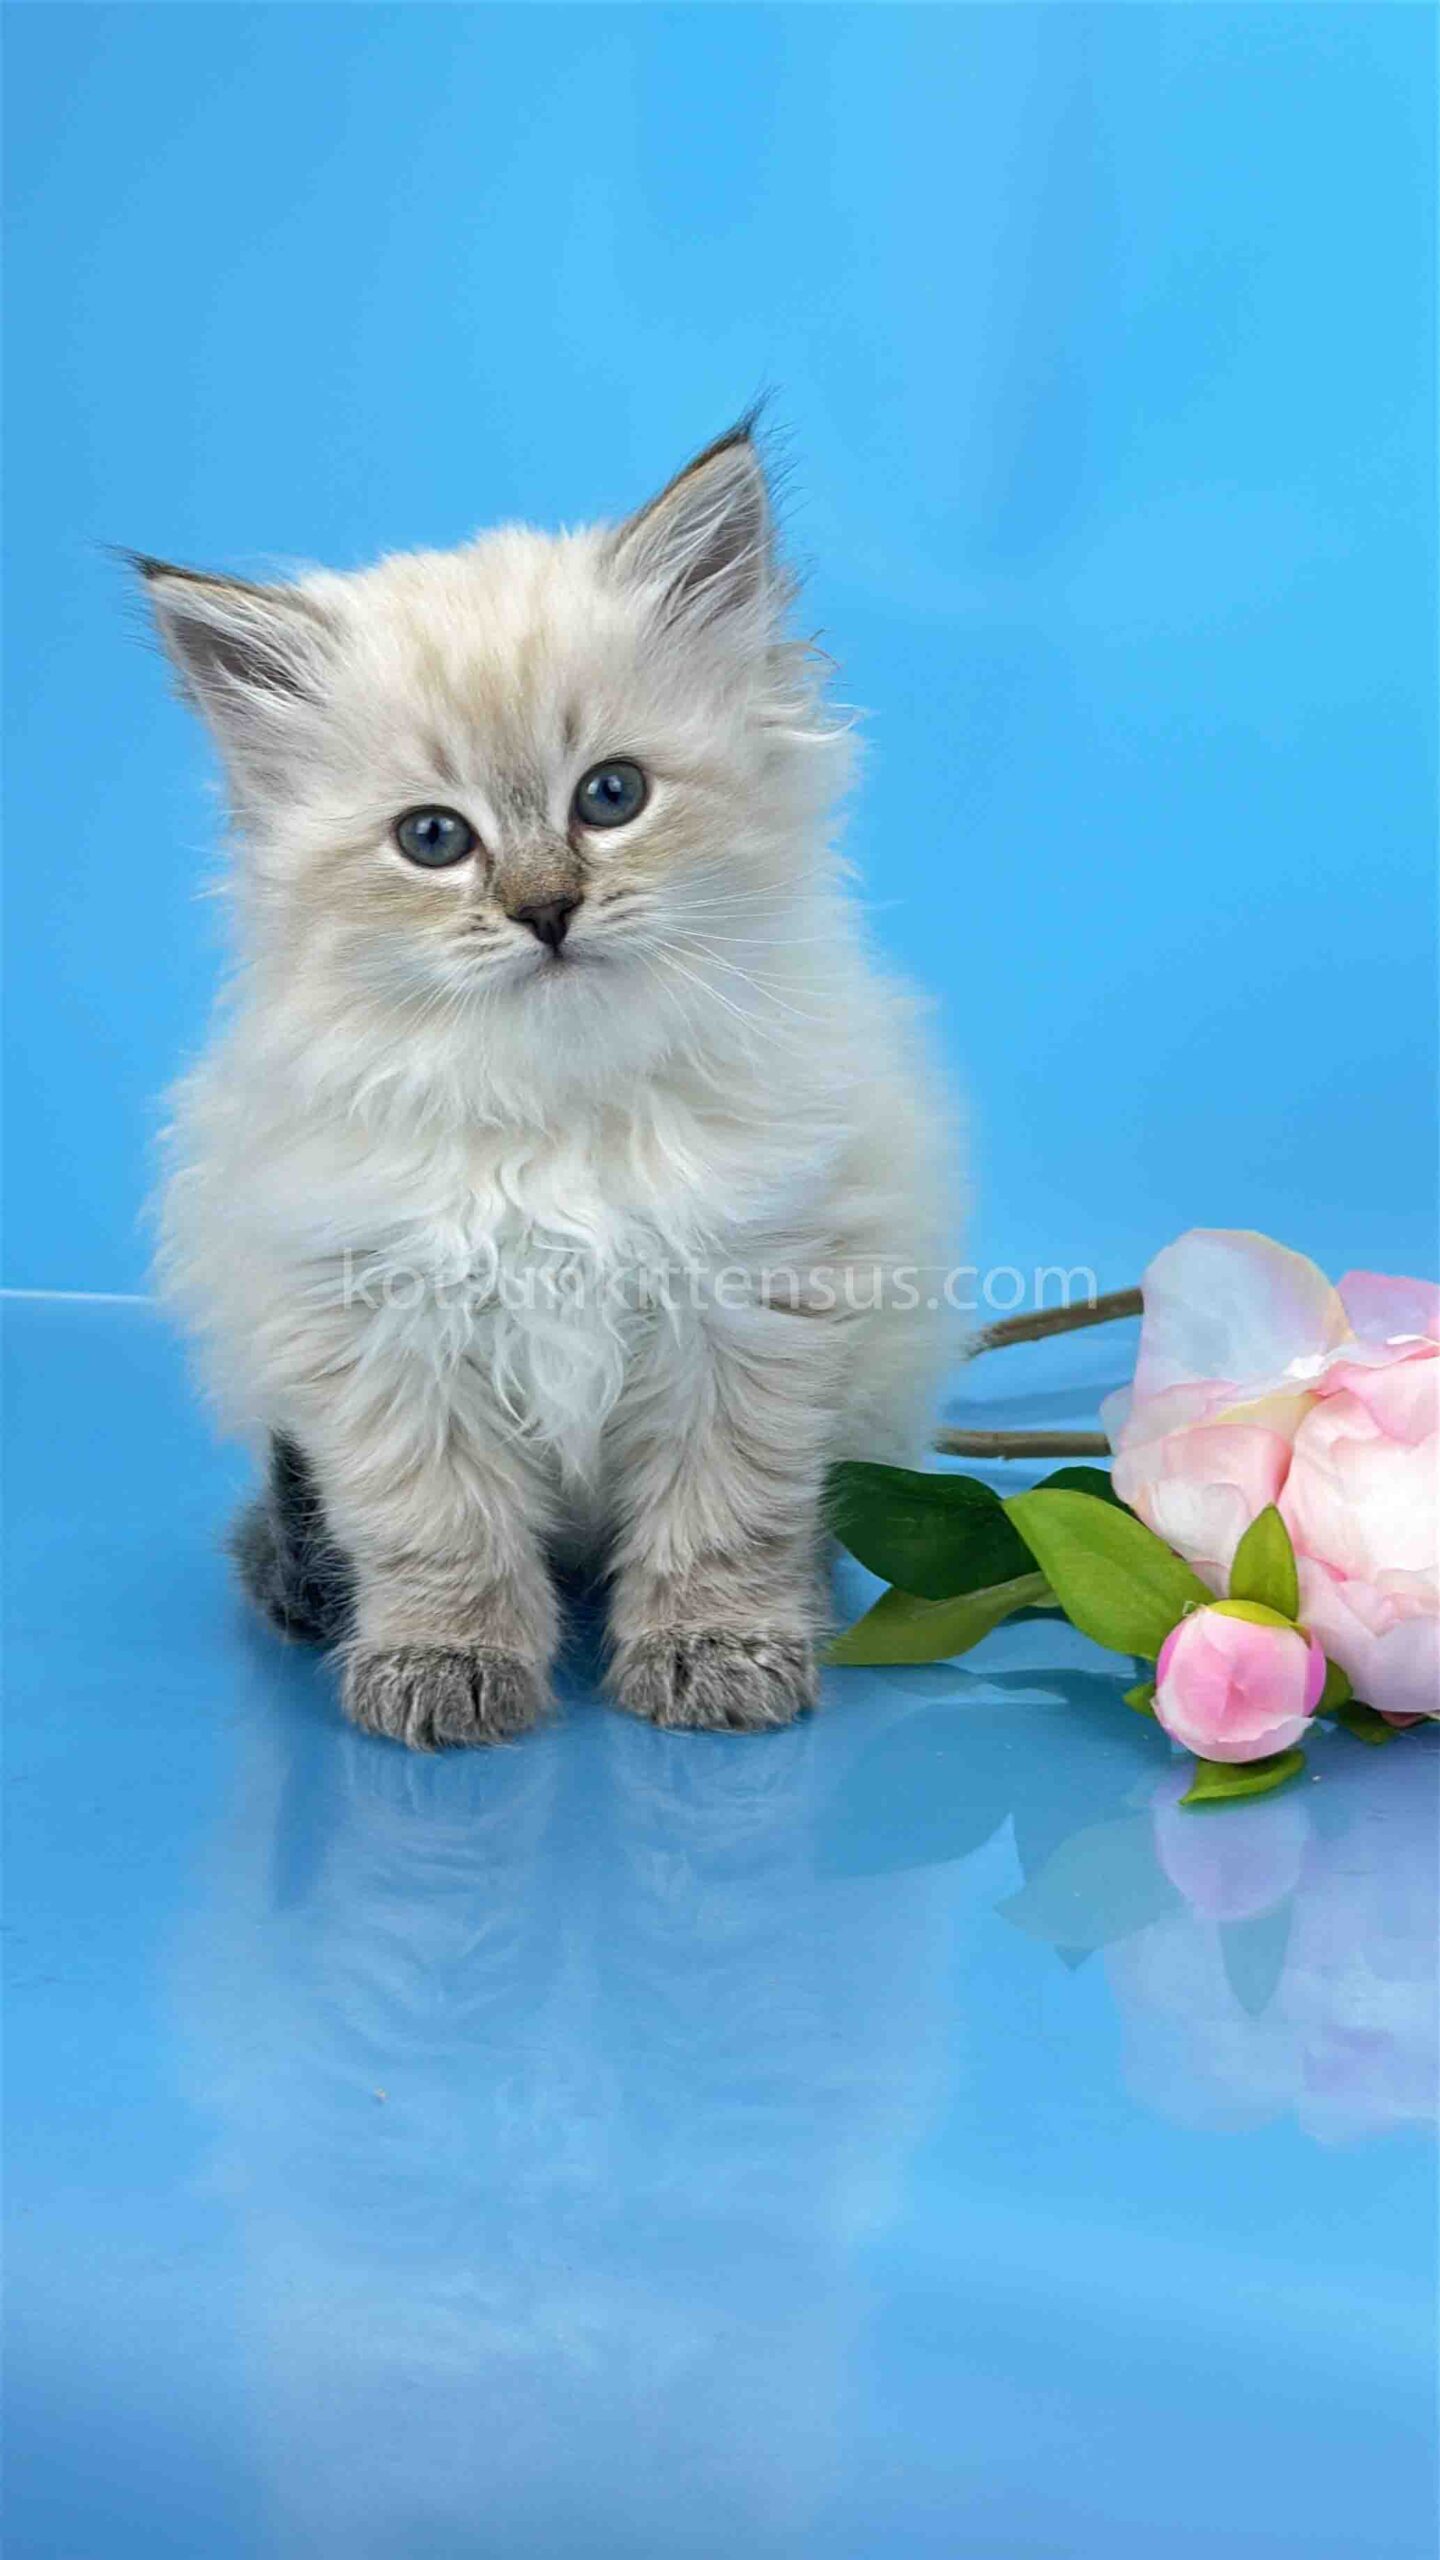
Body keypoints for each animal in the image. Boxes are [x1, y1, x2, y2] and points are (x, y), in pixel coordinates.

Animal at [140, 422, 956, 1748]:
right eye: (433, 839)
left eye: (611, 795)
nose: (546, 910)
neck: (555, 1106)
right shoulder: (384, 1335)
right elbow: (440, 1533)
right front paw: (446, 1665)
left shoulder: (749, 1308)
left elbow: (724, 1514)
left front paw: (713, 1652)